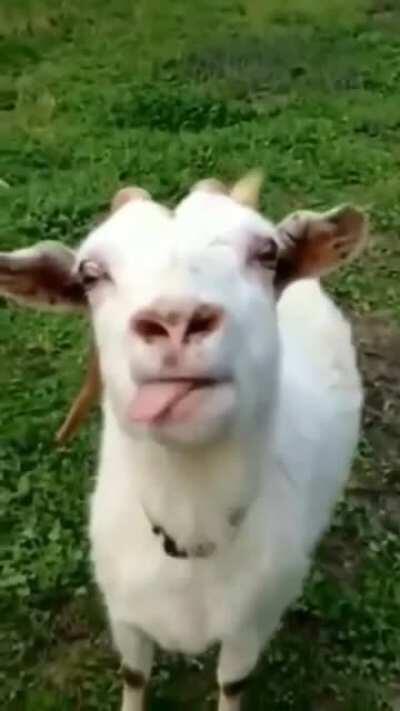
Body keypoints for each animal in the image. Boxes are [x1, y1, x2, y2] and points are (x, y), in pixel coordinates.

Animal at [0, 174, 367, 710]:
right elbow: (134, 675)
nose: (176, 320)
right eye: (89, 274)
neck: (192, 530)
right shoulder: (125, 615)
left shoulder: (251, 626)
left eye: (267, 252)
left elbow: (231, 684)